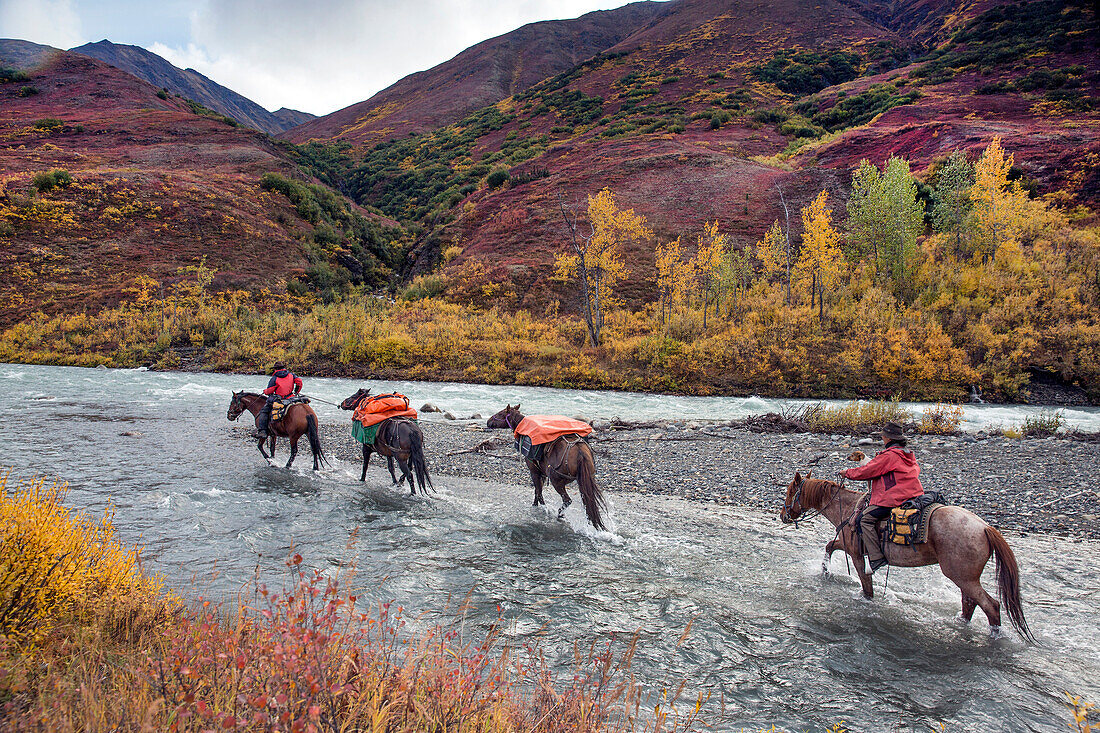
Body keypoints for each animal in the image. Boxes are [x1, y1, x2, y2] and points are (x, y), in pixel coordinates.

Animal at [783, 471, 1029, 638]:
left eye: (789, 491)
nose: (782, 516)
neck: (849, 509)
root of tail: (986, 528)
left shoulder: (856, 555)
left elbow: (866, 586)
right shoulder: (846, 544)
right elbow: (829, 546)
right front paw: (825, 573)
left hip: (963, 576)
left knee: (991, 606)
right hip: (964, 578)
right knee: (970, 603)